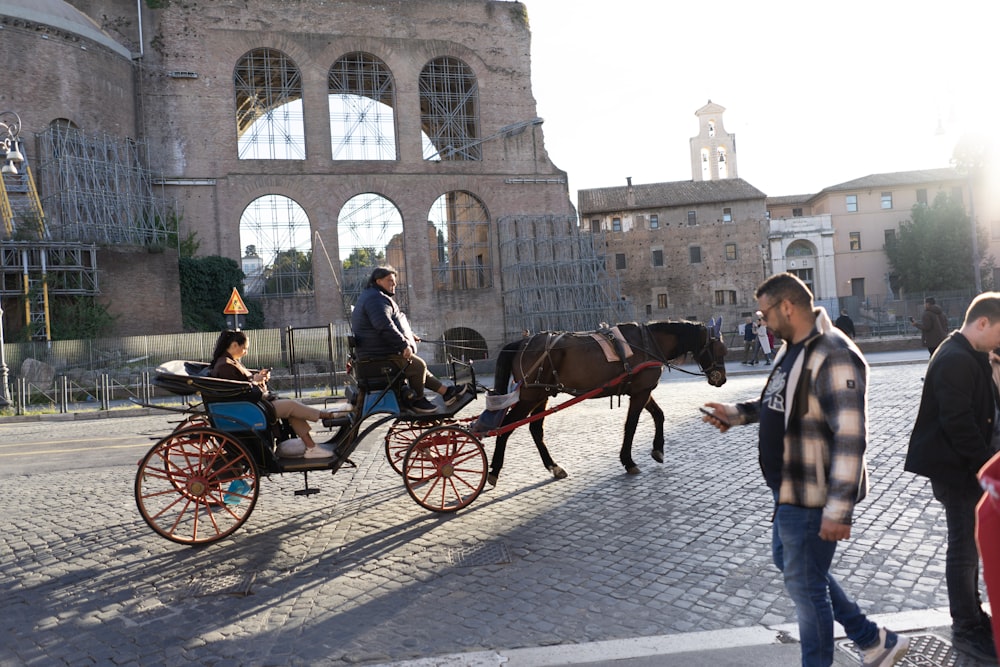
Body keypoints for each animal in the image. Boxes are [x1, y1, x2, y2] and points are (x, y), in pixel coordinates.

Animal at [486, 318, 728, 486]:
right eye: (720, 350)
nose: (721, 379)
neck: (647, 342)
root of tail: (523, 341)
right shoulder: (640, 392)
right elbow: (631, 425)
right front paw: (628, 460)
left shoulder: (642, 390)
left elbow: (659, 415)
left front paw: (658, 450)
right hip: (529, 396)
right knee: (505, 428)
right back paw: (494, 470)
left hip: (541, 395)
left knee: (535, 429)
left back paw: (554, 467)